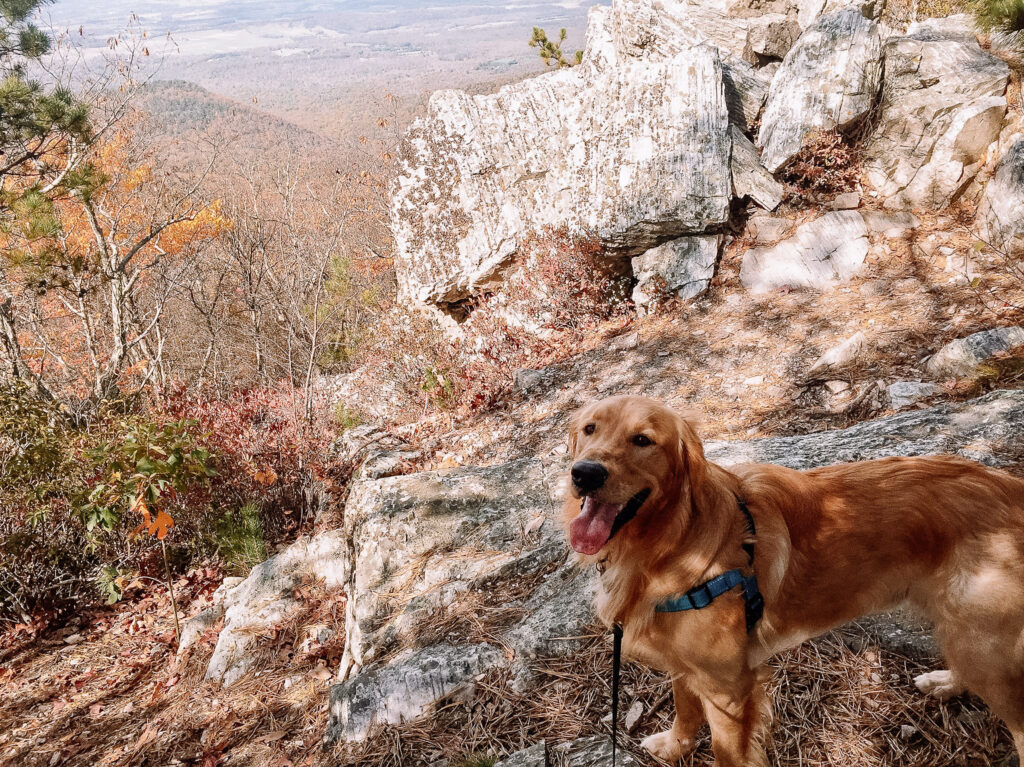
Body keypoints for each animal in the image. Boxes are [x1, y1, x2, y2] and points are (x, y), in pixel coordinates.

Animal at [565, 395, 1024, 765]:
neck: (671, 541)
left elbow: (726, 752)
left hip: (980, 636)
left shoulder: (728, 688)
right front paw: (676, 746)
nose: (584, 473)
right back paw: (946, 682)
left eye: (642, 440)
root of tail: (1009, 487)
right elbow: (684, 708)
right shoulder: (684, 662)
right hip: (968, 635)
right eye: (590, 429)